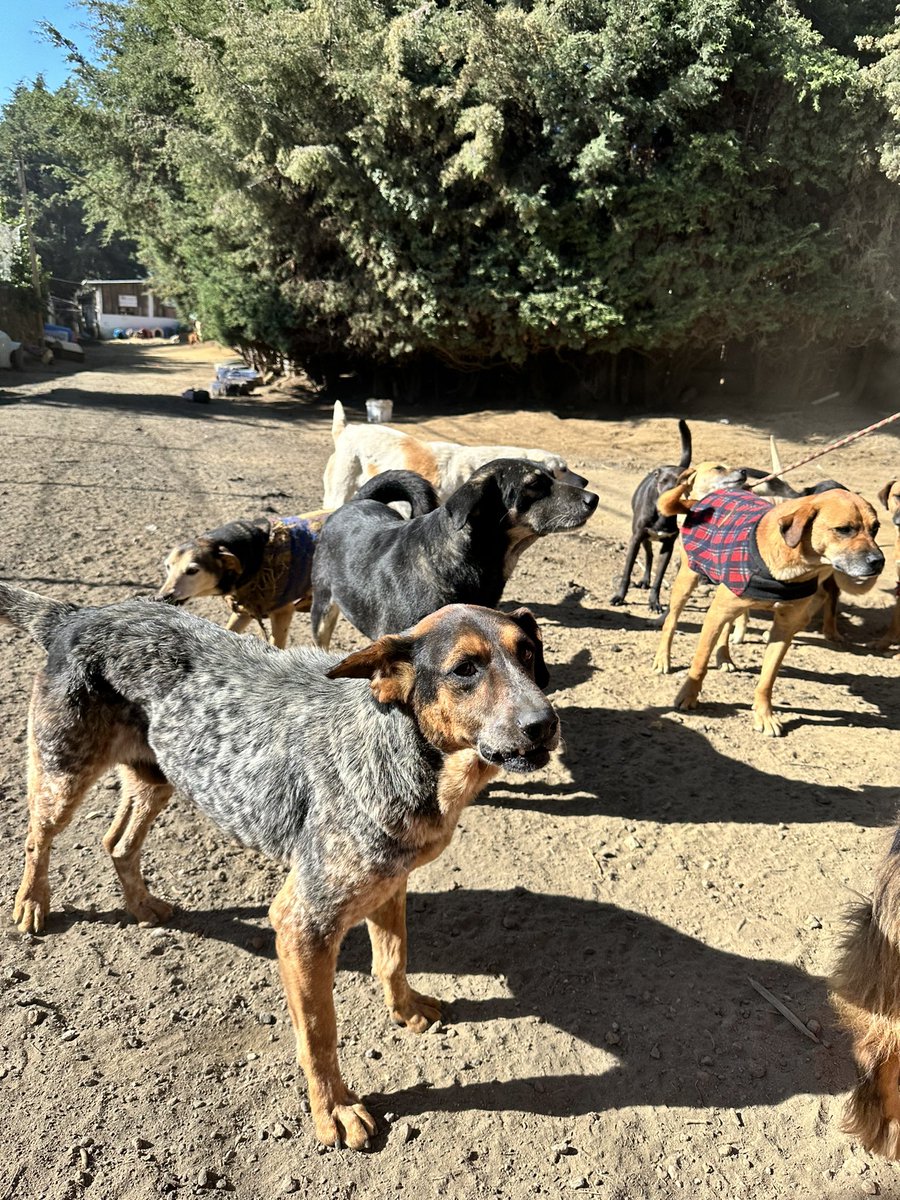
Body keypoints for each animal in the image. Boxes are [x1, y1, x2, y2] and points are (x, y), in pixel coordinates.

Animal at [0, 585, 561, 1147]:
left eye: (528, 653)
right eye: (465, 668)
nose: (545, 725)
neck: (408, 752)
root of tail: (76, 615)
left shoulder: (389, 881)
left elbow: (393, 959)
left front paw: (404, 1011)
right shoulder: (302, 923)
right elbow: (319, 1031)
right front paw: (334, 1108)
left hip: (156, 775)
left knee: (116, 842)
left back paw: (142, 905)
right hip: (62, 774)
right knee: (37, 838)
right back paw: (31, 903)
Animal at [609, 420, 696, 609]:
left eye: (680, 482)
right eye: (663, 481)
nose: (668, 495)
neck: (663, 515)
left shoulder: (668, 546)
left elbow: (659, 578)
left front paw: (654, 602)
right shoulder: (635, 539)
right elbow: (626, 573)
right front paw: (619, 596)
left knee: (650, 556)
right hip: (643, 537)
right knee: (649, 555)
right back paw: (643, 580)